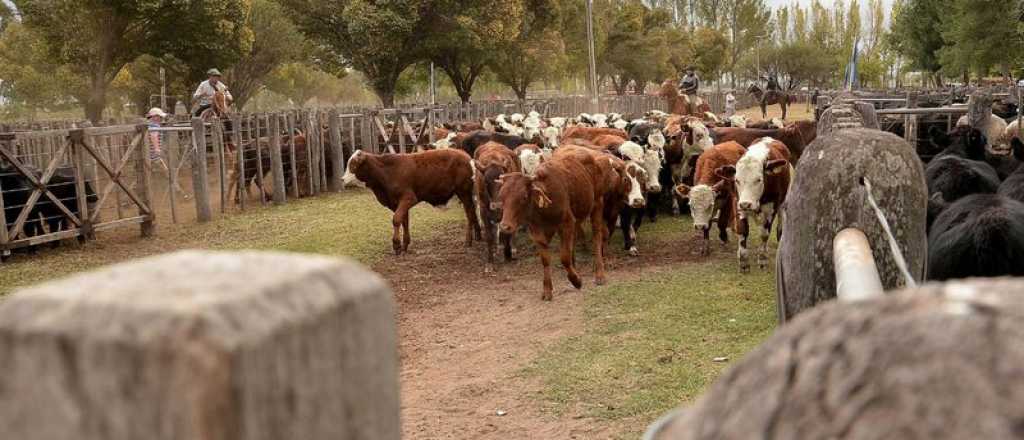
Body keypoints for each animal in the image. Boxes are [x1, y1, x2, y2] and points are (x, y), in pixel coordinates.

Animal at [342, 148, 481, 254]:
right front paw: (404, 245)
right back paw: (478, 235)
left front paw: (397, 245)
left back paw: (468, 240)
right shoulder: (398, 203)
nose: (342, 179)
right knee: (473, 212)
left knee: (469, 213)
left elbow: (396, 219)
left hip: (463, 192)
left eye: (353, 165)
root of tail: (466, 156)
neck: (387, 171)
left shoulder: (408, 198)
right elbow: (404, 221)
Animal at [473, 142, 520, 270]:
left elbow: (506, 232)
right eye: (486, 182)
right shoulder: (484, 210)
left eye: (503, 181)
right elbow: (489, 236)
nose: (497, 205)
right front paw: (490, 262)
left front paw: (507, 255)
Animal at [712, 137, 790, 272]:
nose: (746, 204)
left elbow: (764, 234)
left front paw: (762, 259)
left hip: (781, 203)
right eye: (736, 180)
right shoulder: (738, 205)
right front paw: (743, 261)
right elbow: (743, 230)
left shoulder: (771, 209)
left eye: (758, 179)